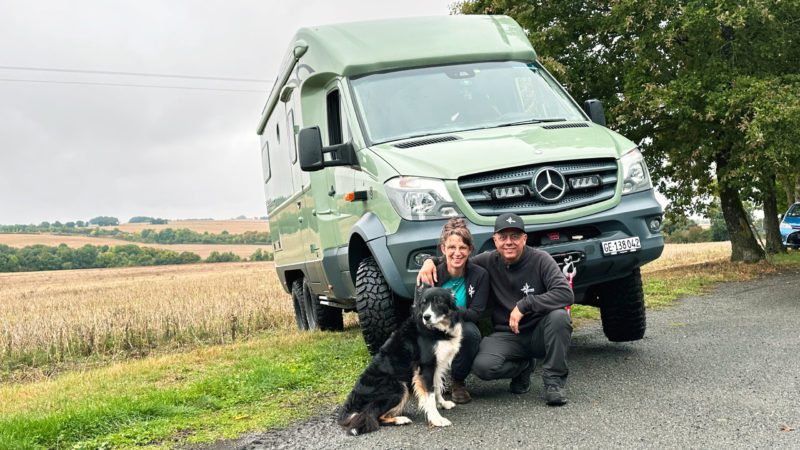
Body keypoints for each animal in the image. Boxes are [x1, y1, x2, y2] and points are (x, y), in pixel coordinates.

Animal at [336, 284, 462, 436]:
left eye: (439, 302)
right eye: (423, 303)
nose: (426, 317)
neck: (437, 329)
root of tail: (349, 408)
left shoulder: (436, 366)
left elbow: (437, 387)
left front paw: (443, 403)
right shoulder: (426, 367)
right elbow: (430, 394)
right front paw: (437, 419)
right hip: (398, 387)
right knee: (373, 416)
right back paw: (400, 419)